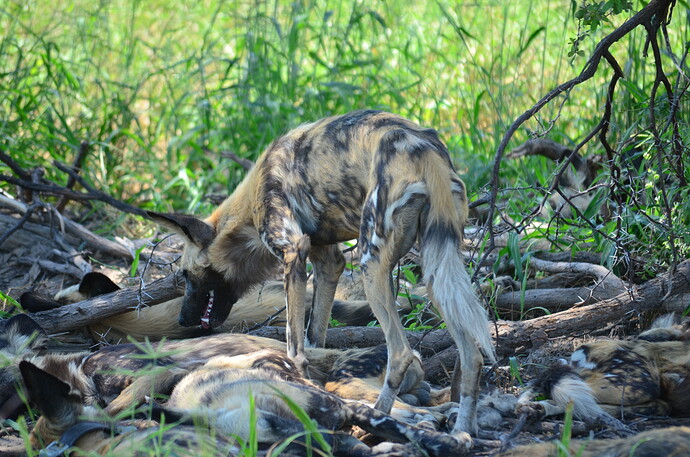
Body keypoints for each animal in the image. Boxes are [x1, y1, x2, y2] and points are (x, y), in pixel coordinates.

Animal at [146, 108, 494, 440]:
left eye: (185, 275)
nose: (182, 320)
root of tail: (422, 147)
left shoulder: (293, 252)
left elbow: (295, 348)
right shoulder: (328, 262)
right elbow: (316, 337)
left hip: (370, 264)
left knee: (400, 354)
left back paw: (376, 420)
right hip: (437, 268)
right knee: (471, 353)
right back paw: (463, 429)